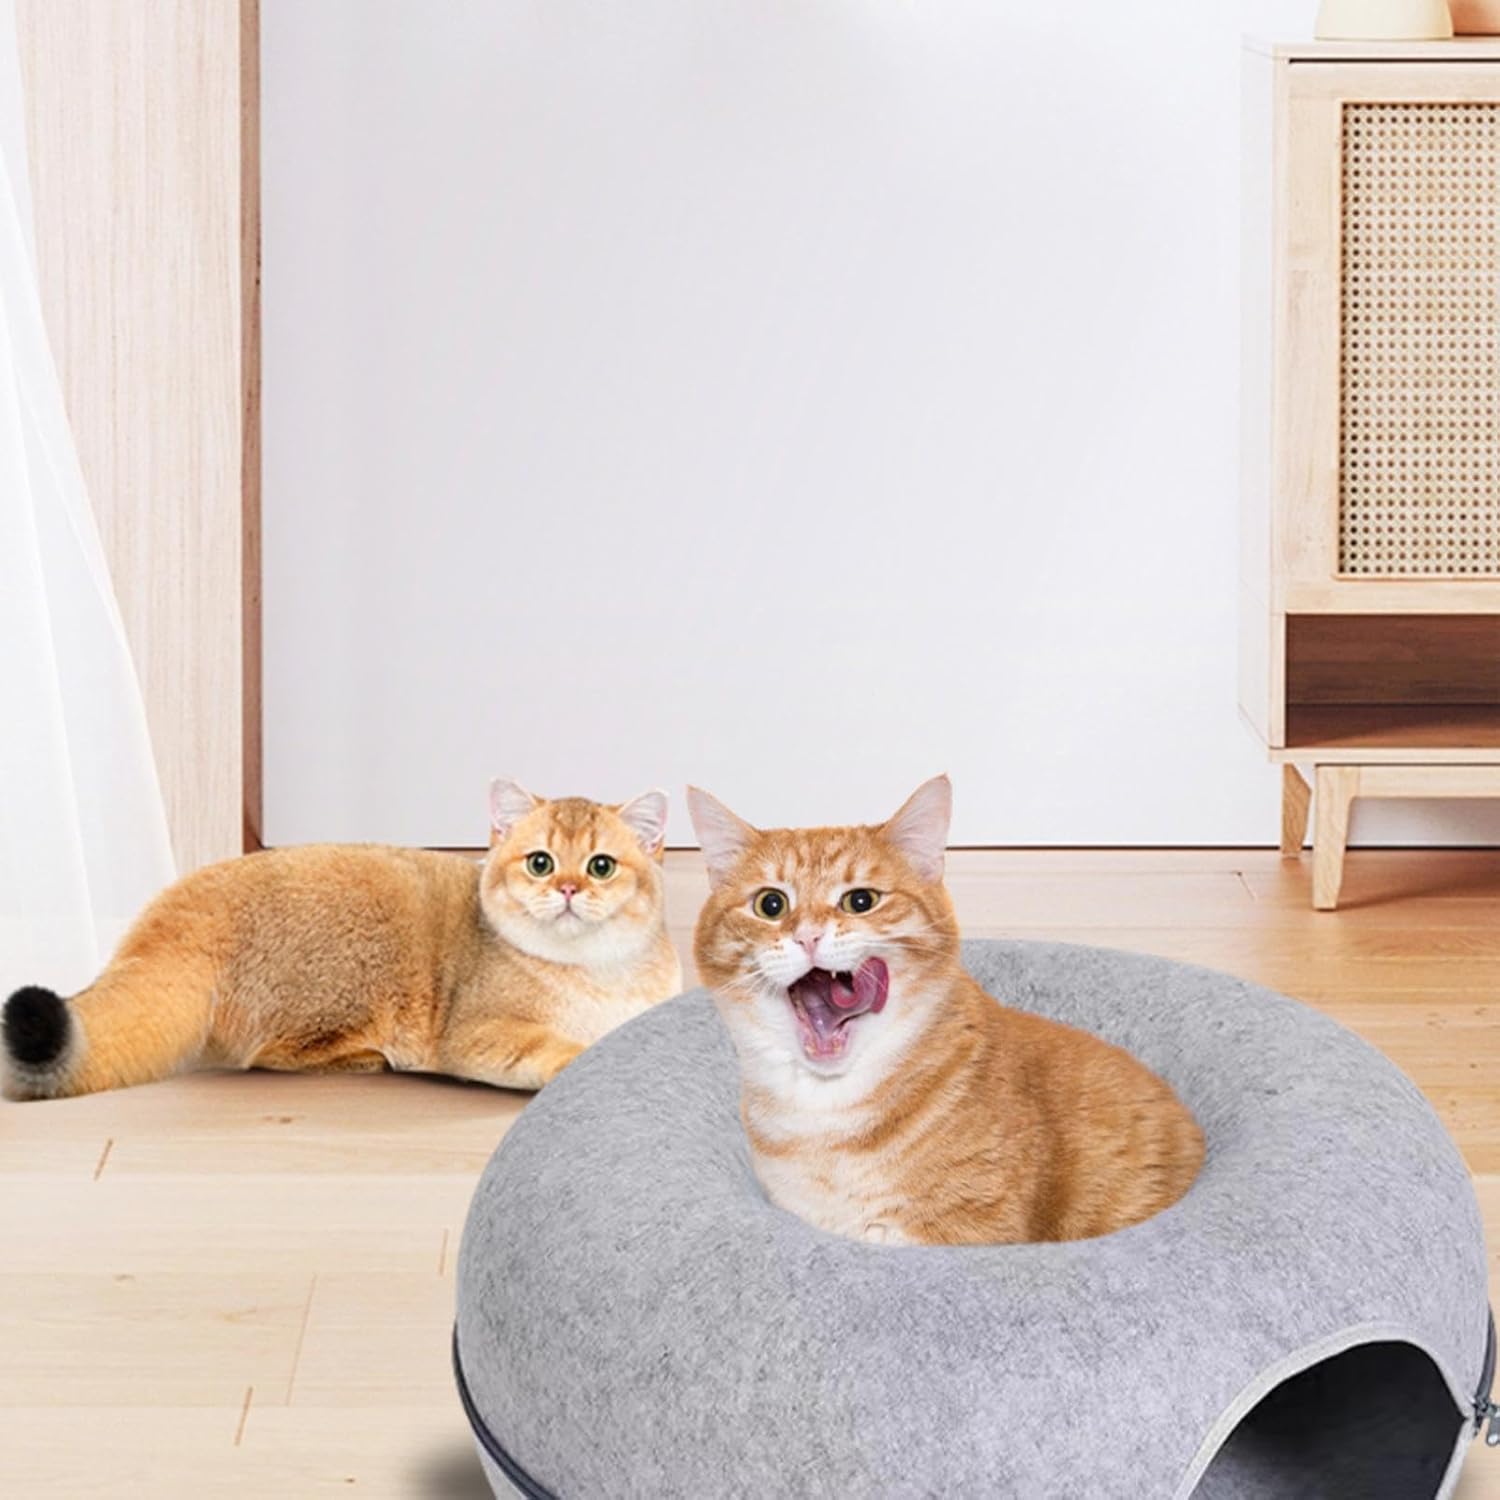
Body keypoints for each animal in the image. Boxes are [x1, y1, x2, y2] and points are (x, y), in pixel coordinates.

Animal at [0, 786, 681, 1104]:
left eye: (599, 867)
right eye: (540, 863)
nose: (567, 889)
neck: (599, 972)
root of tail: (182, 907)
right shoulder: (480, 1033)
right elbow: (556, 1049)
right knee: (268, 1055)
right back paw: (371, 1057)